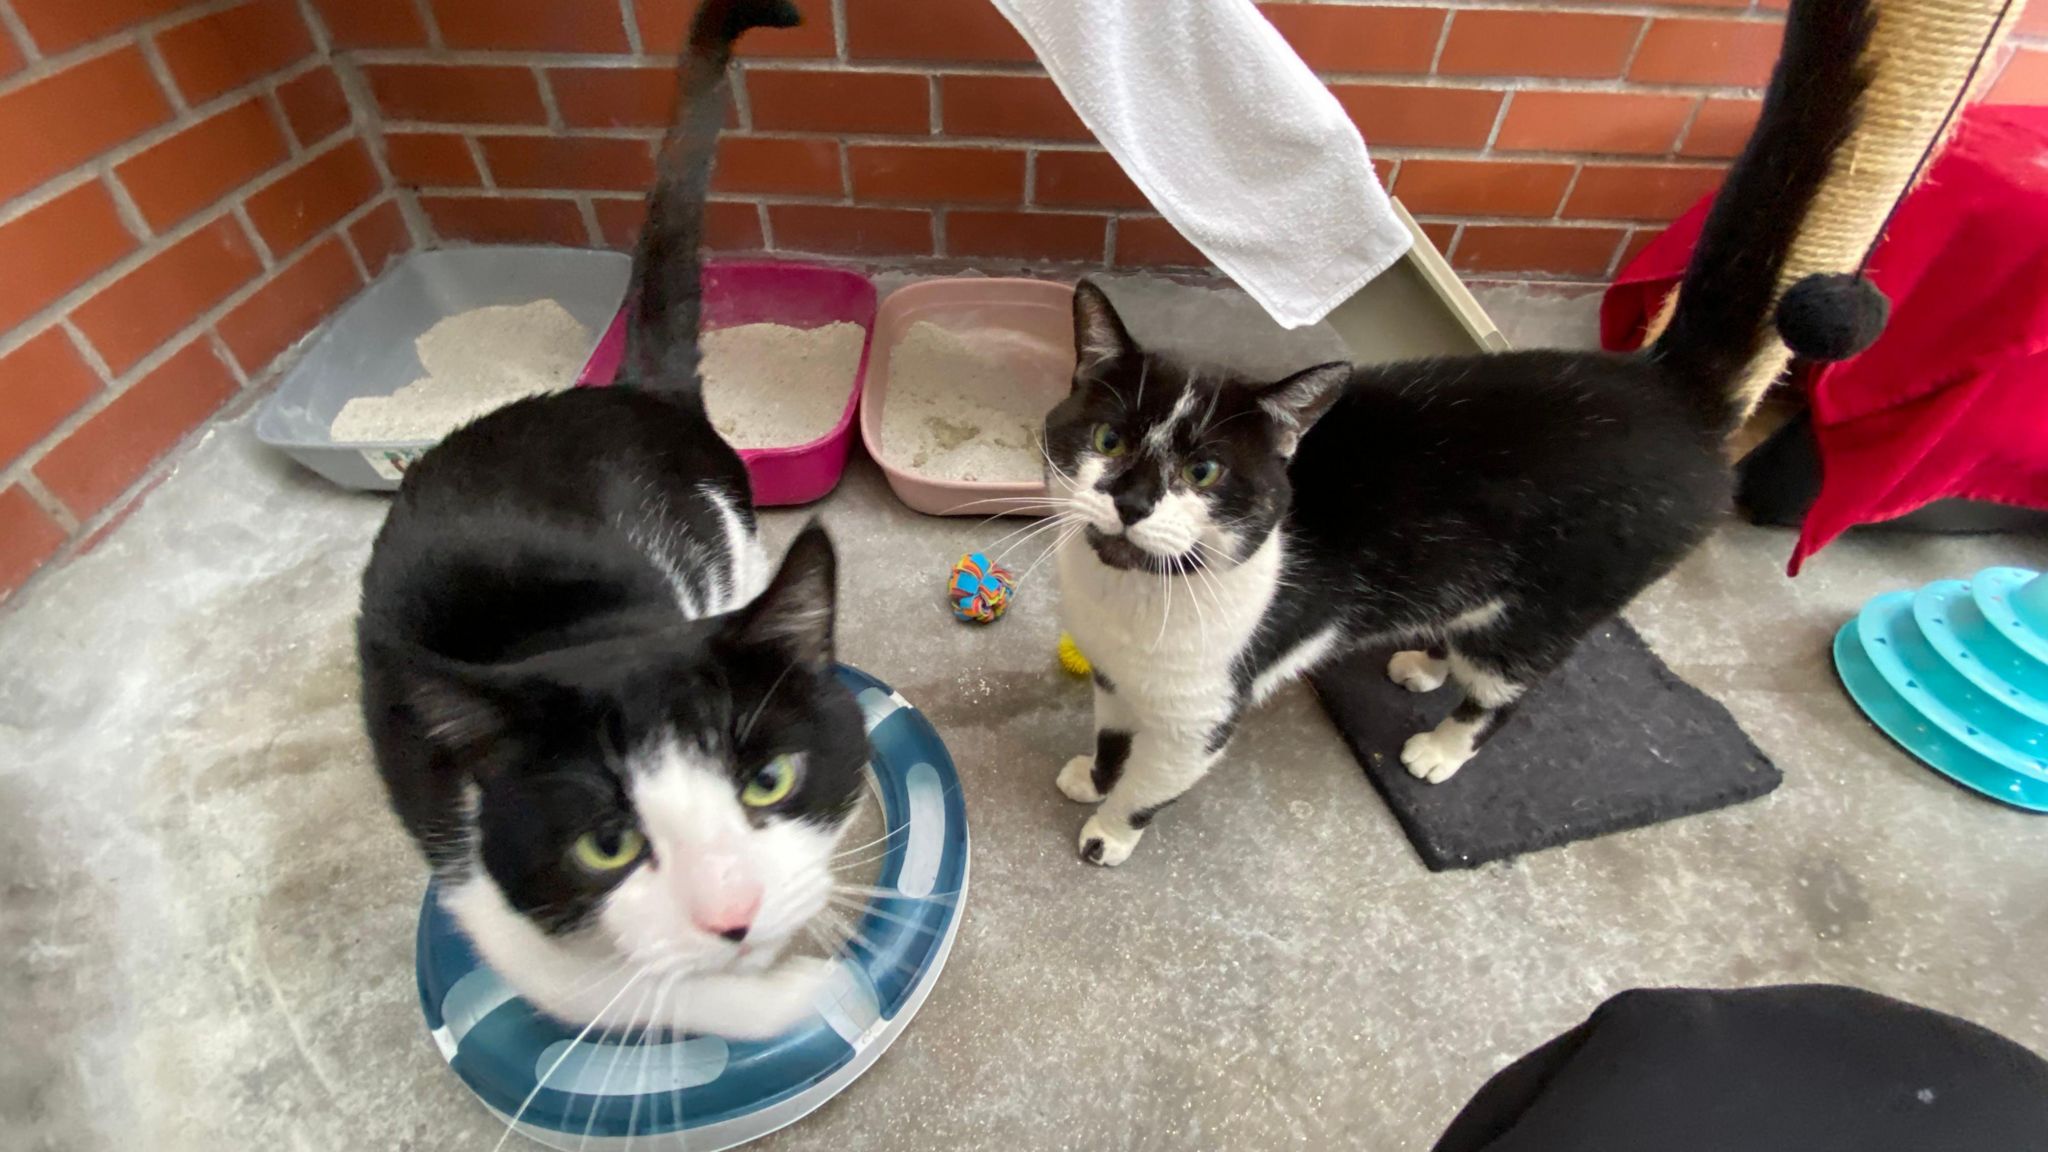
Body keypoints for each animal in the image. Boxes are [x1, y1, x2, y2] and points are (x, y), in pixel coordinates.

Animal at [358, 0, 864, 1041]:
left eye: (765, 784)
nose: (735, 916)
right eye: (608, 845)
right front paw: (802, 984)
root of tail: (629, 391)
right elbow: (612, 987)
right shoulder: (477, 873)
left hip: (734, 541)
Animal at [1048, 0, 1867, 860]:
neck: (1128, 594)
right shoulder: (1114, 673)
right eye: (1107, 441)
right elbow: (1112, 733)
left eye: (1204, 472)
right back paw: (1426, 660)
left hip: (1558, 599)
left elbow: (1155, 778)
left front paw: (1109, 831)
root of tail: (1667, 386)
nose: (1132, 501)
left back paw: (1443, 746)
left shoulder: (1202, 708)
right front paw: (1091, 776)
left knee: (1510, 682)